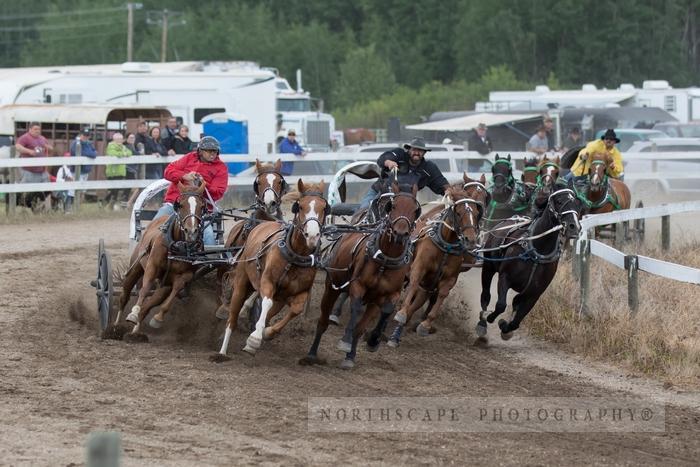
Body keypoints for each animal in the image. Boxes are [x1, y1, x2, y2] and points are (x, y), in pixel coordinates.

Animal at [212, 181, 330, 360]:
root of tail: (262, 224)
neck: (294, 256)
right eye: (300, 206)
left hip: (276, 293)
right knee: (232, 316)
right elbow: (266, 302)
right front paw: (254, 339)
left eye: (324, 207)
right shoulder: (268, 281)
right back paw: (222, 351)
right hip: (241, 282)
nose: (312, 235)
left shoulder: (300, 291)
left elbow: (295, 309)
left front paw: (266, 333)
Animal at [302, 182, 422, 370]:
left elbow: (382, 313)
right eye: (393, 206)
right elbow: (356, 308)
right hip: (332, 287)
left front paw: (369, 343)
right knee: (323, 321)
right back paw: (312, 354)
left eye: (416, 210)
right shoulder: (358, 286)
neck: (385, 259)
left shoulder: (387, 295)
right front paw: (345, 341)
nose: (400, 234)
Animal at [386, 176, 490, 348]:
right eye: (458, 212)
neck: (446, 243)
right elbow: (413, 284)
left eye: (476, 211)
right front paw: (401, 313)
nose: (471, 239)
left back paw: (396, 334)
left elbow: (441, 295)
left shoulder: (449, 278)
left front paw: (425, 324)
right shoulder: (419, 268)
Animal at [476, 185, 580, 342]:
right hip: (488, 267)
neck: (536, 253)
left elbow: (517, 320)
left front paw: (505, 327)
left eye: (575, 202)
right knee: (485, 295)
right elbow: (501, 305)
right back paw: (482, 322)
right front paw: (491, 318)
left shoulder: (535, 292)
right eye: (559, 201)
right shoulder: (505, 277)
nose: (574, 226)